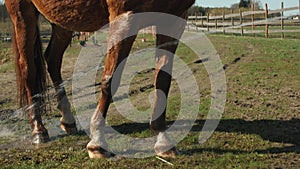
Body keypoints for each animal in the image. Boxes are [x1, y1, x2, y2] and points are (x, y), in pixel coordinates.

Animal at [5, 0, 196, 158]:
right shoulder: (124, 19)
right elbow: (110, 80)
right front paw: (97, 142)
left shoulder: (174, 19)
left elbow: (163, 80)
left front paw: (163, 142)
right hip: (22, 14)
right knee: (28, 69)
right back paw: (38, 130)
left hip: (63, 18)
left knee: (53, 59)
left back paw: (67, 119)